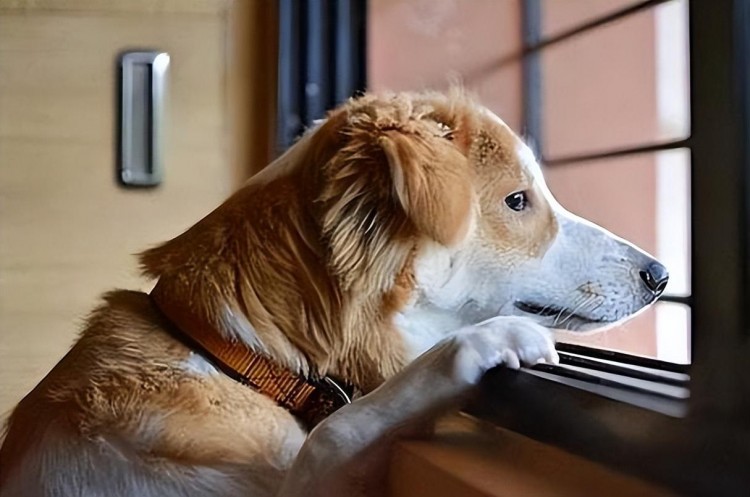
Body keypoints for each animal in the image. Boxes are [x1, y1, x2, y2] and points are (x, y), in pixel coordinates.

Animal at [0, 90, 668, 496]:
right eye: (518, 201)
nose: (660, 276)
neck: (238, 357)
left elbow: (335, 429)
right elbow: (339, 431)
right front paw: (479, 345)